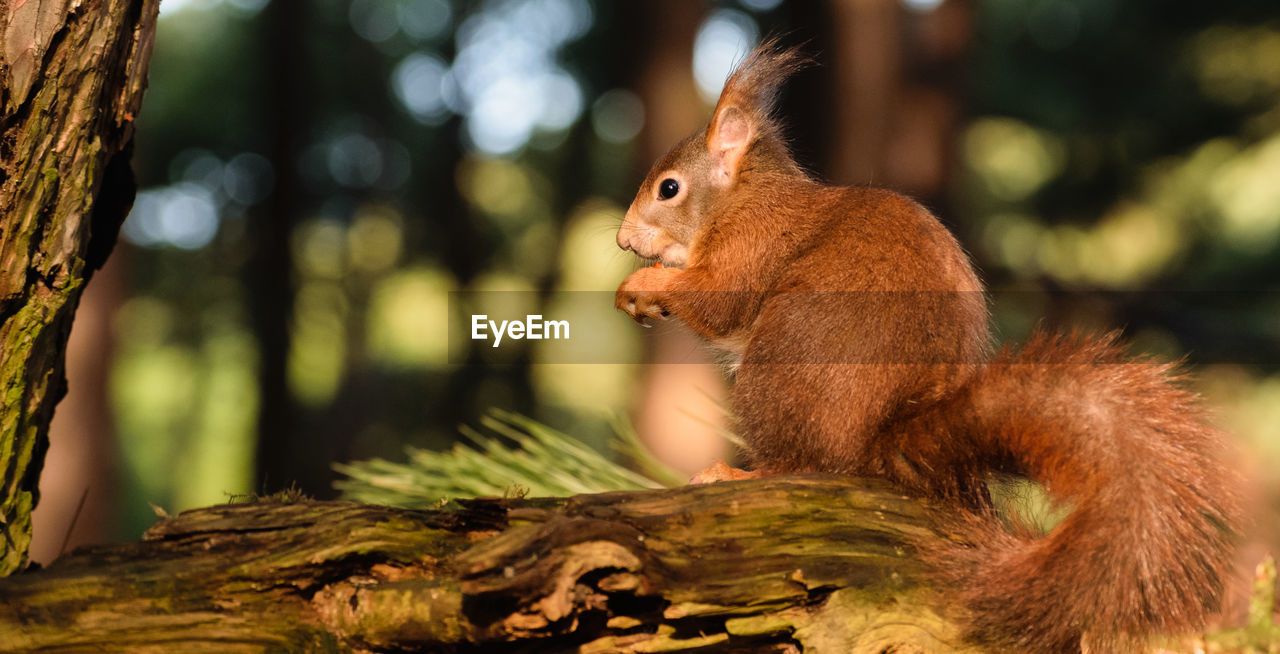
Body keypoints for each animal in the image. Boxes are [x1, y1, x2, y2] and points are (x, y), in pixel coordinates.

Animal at [614, 42, 1233, 654]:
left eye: (669, 188)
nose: (621, 241)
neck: (740, 200)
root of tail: (877, 447)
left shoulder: (752, 245)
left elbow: (720, 302)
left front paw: (644, 285)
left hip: (777, 369)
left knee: (805, 466)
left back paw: (738, 476)